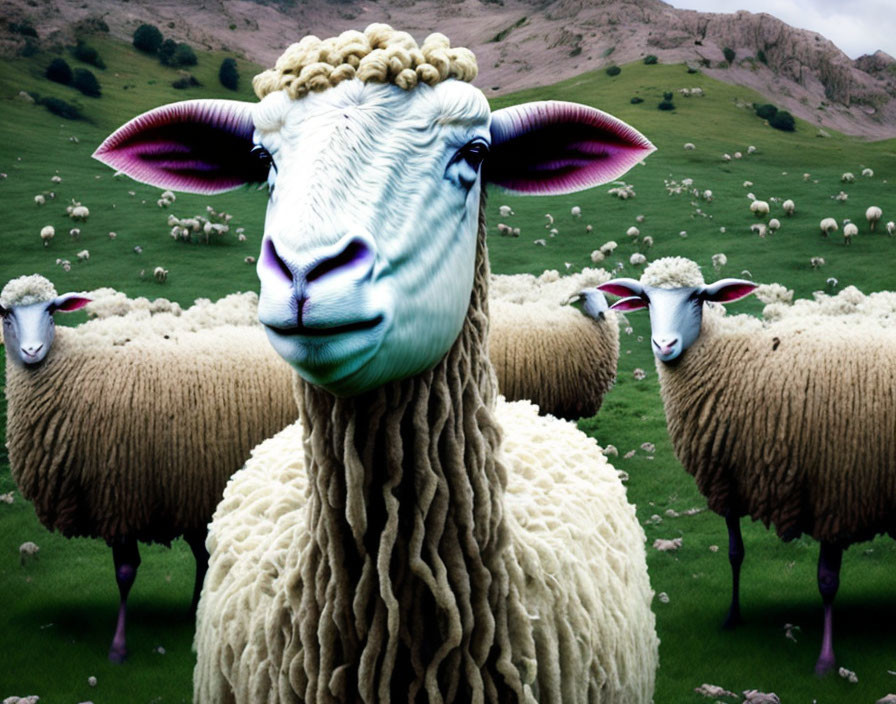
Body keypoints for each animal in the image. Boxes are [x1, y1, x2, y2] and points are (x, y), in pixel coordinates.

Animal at [1, 274, 300, 660]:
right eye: (6, 315)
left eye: (51, 311)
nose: (32, 351)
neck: (73, 370)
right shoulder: (185, 494)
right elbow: (197, 554)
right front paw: (190, 614)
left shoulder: (120, 495)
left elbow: (126, 572)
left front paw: (118, 647)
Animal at [600, 256, 896, 672]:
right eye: (645, 299)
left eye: (697, 298)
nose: (664, 346)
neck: (730, 361)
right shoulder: (730, 478)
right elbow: (735, 553)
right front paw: (732, 617)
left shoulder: (835, 492)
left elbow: (827, 581)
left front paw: (825, 659)